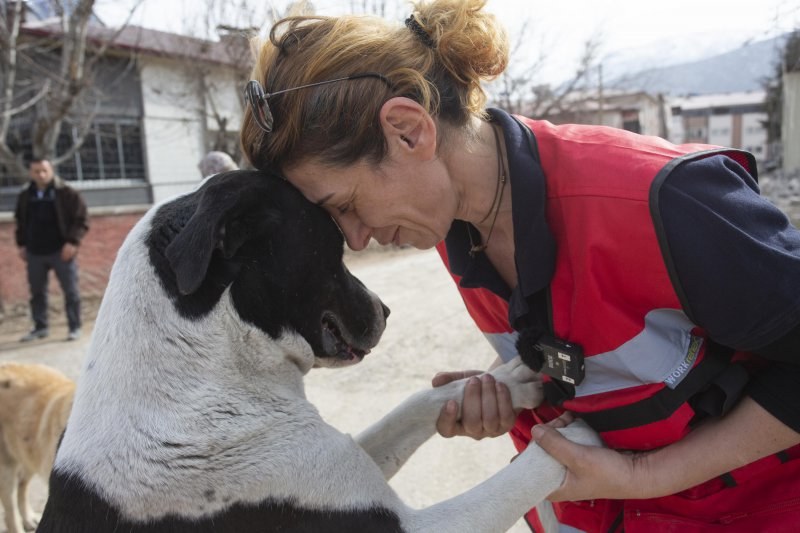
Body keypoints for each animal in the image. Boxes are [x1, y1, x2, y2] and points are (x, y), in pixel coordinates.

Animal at [39, 170, 600, 532]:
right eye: (335, 245)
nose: (386, 310)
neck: (202, 375)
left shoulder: (343, 458)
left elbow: (415, 405)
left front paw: (505, 382)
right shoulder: (406, 525)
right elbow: (516, 480)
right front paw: (578, 444)